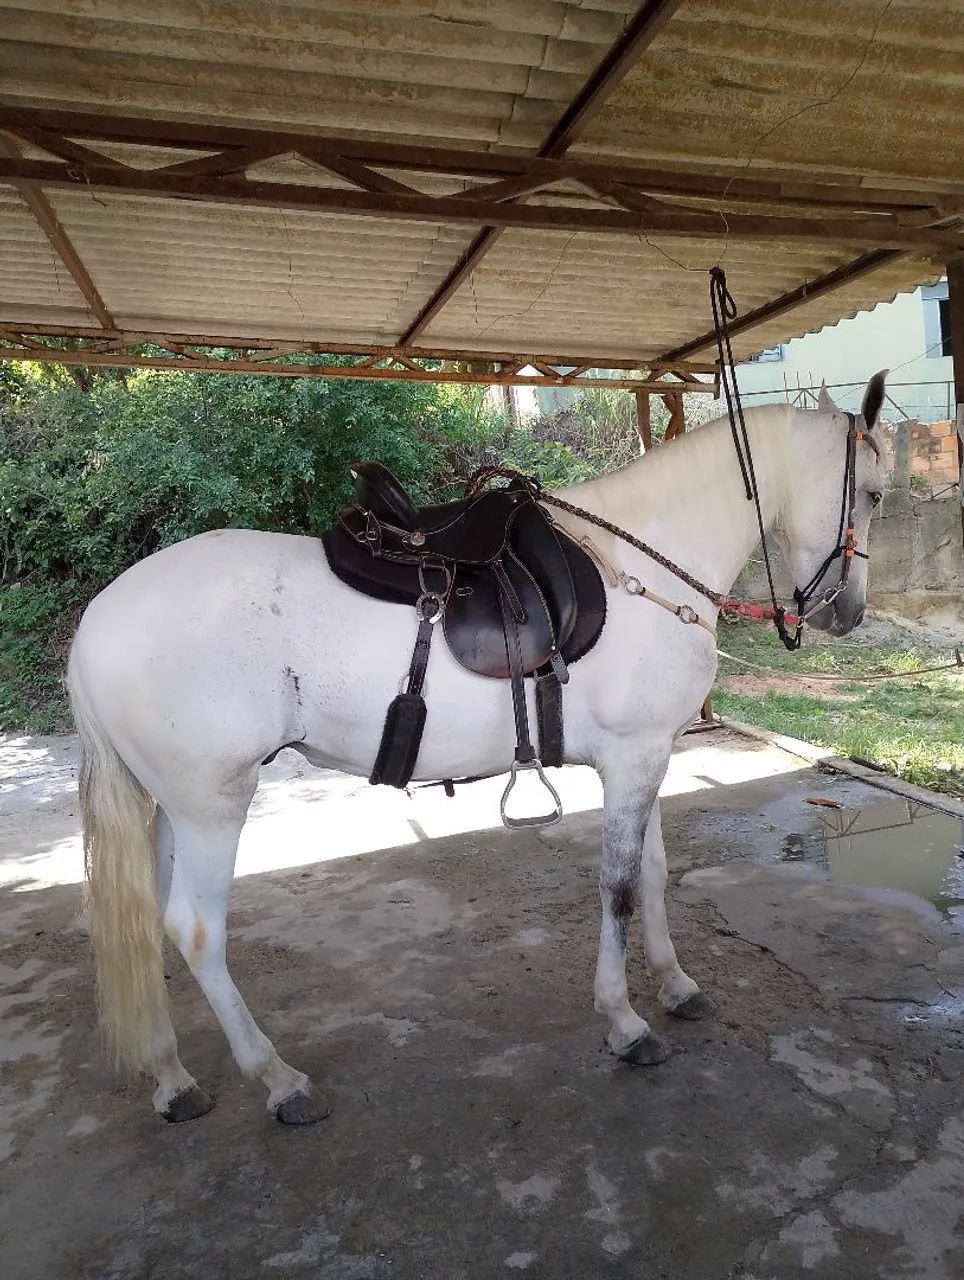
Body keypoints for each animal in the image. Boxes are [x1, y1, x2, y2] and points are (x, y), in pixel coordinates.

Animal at [67, 374, 886, 1125]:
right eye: (876, 493)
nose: (847, 613)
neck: (641, 565)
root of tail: (95, 624)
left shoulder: (648, 756)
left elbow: (652, 873)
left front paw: (677, 986)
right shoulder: (630, 762)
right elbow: (619, 887)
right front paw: (625, 1023)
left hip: (169, 809)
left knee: (151, 922)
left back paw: (172, 1077)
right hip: (212, 808)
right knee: (197, 929)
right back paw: (278, 1080)